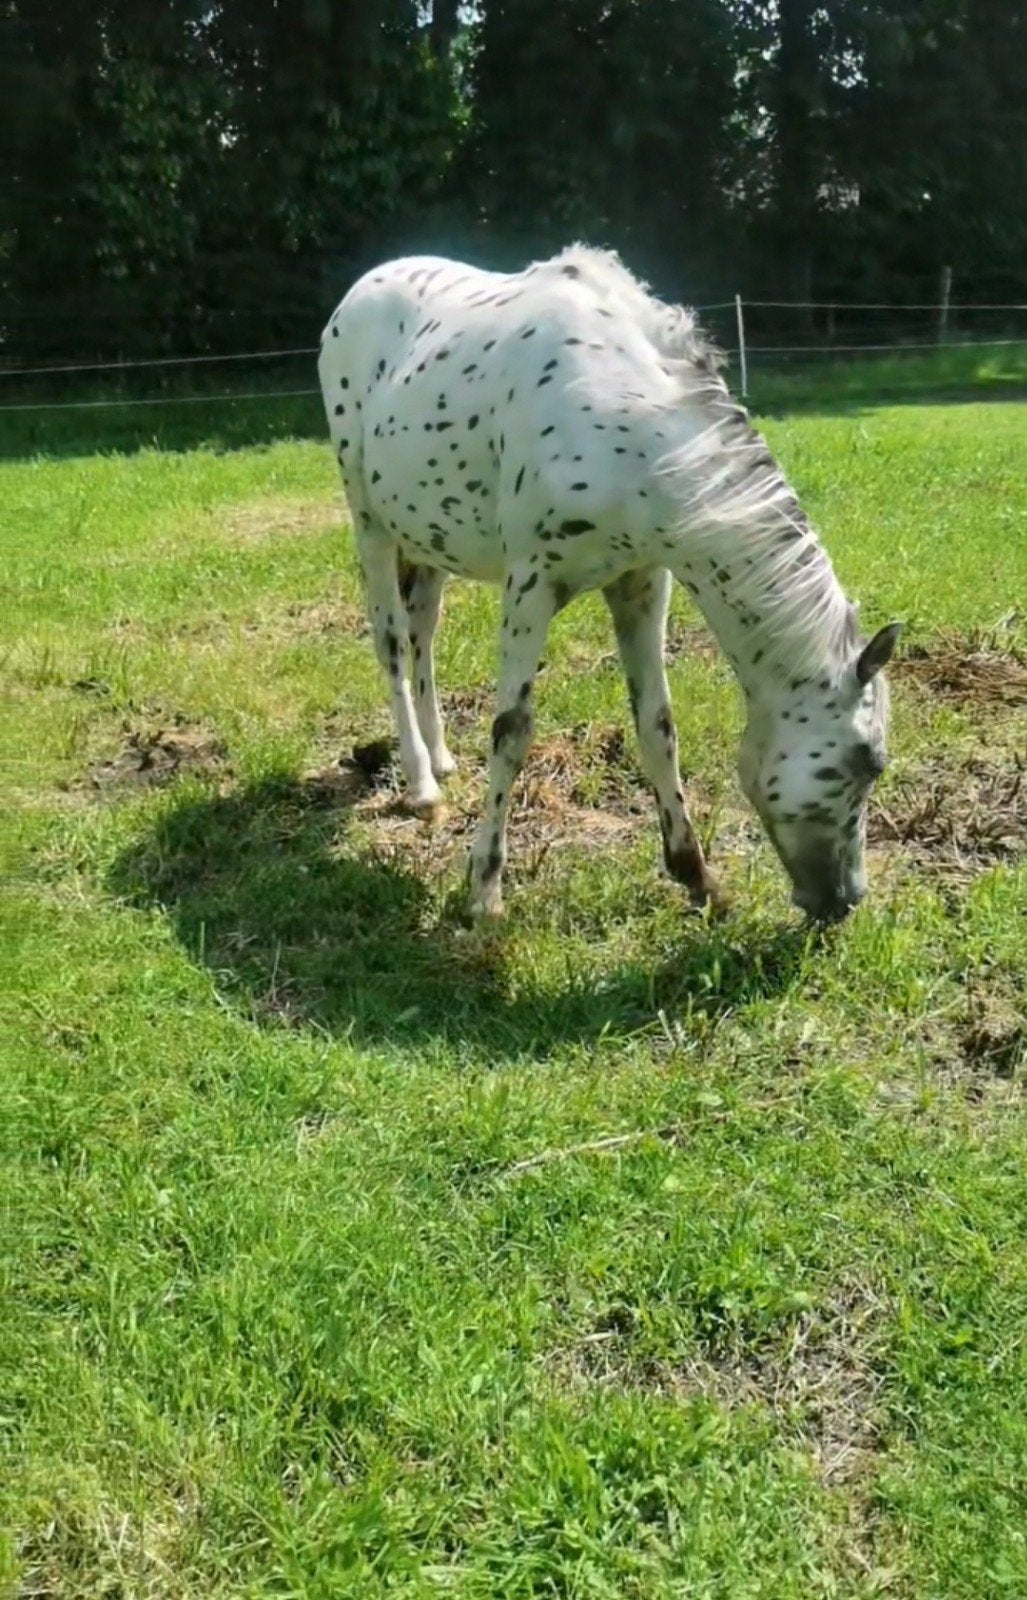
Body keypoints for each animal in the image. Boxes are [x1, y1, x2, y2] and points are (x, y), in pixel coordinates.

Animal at [317, 245, 900, 923]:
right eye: (867, 763)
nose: (845, 899)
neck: (630, 424)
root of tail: (360, 290)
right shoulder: (531, 584)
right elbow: (512, 730)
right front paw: (484, 891)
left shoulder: (641, 583)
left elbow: (657, 724)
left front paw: (697, 876)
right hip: (370, 522)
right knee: (389, 643)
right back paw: (421, 785)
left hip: (429, 538)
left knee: (422, 635)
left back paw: (441, 758)